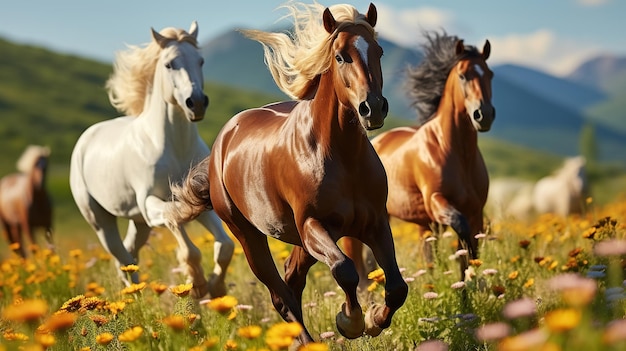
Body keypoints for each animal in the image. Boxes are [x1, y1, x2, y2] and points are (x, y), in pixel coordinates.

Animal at [69, 20, 234, 298]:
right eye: (169, 64)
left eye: (200, 61)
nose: (196, 103)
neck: (175, 148)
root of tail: (86, 138)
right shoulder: (150, 204)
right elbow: (186, 242)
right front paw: (198, 284)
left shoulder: (197, 199)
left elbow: (225, 246)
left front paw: (216, 288)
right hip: (101, 221)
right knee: (122, 257)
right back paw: (135, 298)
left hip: (139, 224)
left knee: (128, 254)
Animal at [166, 2, 408, 346]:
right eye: (340, 56)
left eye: (379, 51)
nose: (372, 107)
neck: (341, 156)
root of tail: (223, 141)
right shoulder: (311, 225)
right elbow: (345, 269)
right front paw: (350, 322)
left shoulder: (374, 223)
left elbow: (397, 286)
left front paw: (373, 321)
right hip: (249, 235)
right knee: (281, 294)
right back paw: (306, 342)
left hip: (300, 242)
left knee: (292, 280)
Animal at [342, 31, 492, 284]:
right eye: (463, 75)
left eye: (490, 74)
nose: (485, 115)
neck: (458, 153)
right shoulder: (436, 201)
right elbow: (462, 231)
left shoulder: (476, 211)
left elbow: (471, 247)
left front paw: (469, 283)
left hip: (419, 224)